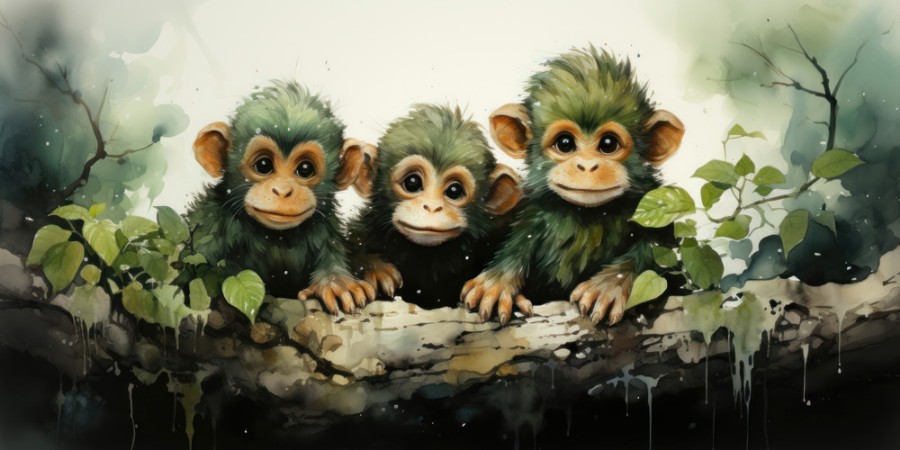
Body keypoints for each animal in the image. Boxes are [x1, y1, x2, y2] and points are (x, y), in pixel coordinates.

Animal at [461, 47, 685, 325]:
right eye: (565, 143)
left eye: (608, 144)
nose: (587, 165)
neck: (587, 215)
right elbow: (520, 241)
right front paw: (497, 281)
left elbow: (660, 248)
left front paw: (611, 283)